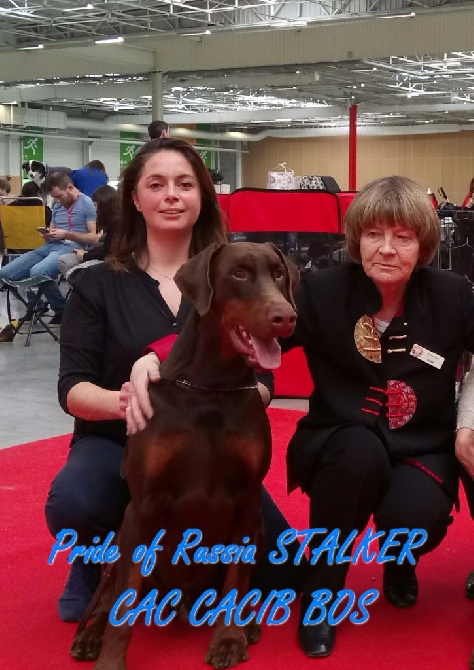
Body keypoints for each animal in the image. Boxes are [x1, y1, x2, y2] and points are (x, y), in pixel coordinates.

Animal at [70, 243, 298, 670]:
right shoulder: (143, 504)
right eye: (238, 273)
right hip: (120, 537)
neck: (212, 387)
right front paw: (111, 659)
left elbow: (236, 579)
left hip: (258, 529)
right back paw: (90, 635)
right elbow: (121, 606)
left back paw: (249, 623)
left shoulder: (247, 499)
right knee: (108, 595)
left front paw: (228, 639)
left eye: (279, 274)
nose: (285, 317)